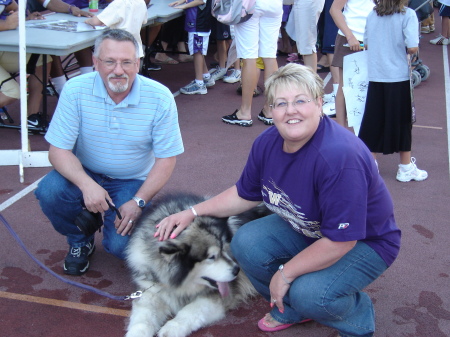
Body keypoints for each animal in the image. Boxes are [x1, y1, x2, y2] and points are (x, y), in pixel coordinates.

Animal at [124, 192, 270, 336]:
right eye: (212, 257)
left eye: (224, 247)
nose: (237, 270)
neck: (177, 285)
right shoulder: (149, 293)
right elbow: (142, 320)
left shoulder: (215, 299)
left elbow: (189, 311)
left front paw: (171, 328)